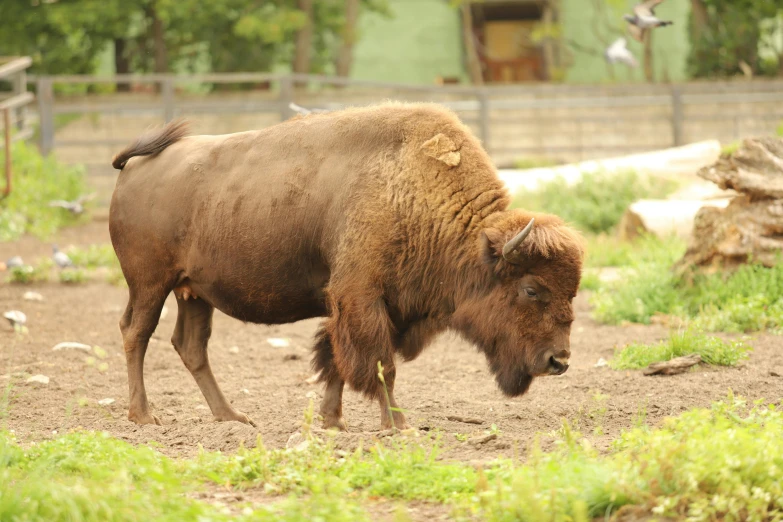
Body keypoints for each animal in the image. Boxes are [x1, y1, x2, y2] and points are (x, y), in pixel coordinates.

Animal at [112, 100, 588, 426]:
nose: (559, 361)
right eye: (531, 289)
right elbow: (380, 365)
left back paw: (231, 418)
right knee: (137, 333)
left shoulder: (367, 307)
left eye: (572, 291)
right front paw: (397, 424)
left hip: (194, 292)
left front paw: (332, 421)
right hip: (150, 285)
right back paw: (145, 416)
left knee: (191, 346)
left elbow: (336, 361)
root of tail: (135, 167)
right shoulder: (361, 299)